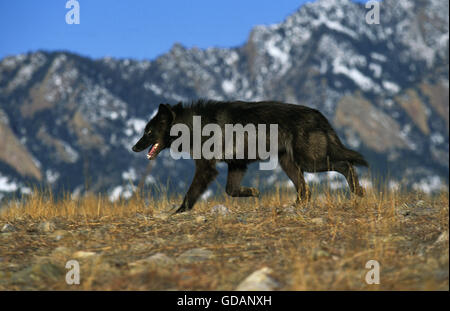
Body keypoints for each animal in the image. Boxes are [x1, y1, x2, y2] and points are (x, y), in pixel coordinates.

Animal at [132, 101, 368, 213]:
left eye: (148, 132)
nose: (134, 148)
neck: (193, 125)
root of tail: (319, 114)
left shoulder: (206, 168)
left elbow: (191, 194)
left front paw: (179, 212)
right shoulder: (237, 164)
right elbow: (231, 190)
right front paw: (253, 192)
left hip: (310, 161)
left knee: (346, 164)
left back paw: (358, 191)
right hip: (290, 164)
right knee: (305, 190)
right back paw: (293, 207)